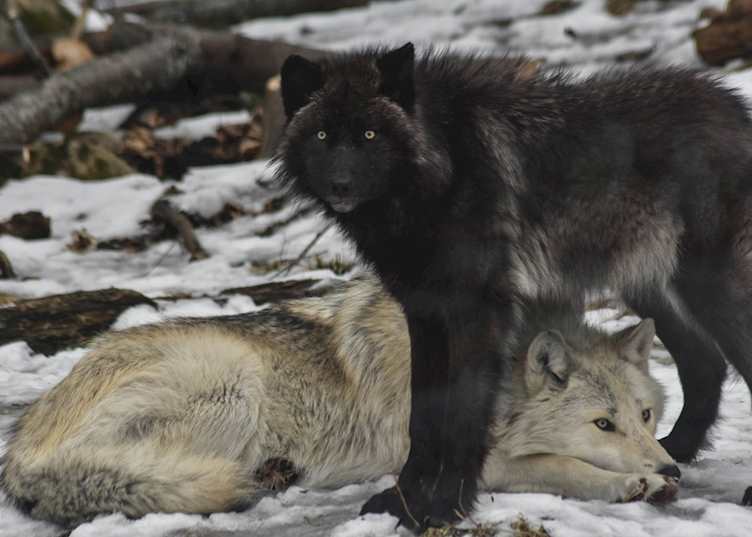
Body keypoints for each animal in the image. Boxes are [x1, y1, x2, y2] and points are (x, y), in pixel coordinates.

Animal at [0, 277, 678, 527]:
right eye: (603, 424)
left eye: (645, 416)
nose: (672, 470)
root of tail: (21, 450)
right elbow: (562, 465)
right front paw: (630, 484)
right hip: (235, 380)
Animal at [276, 44, 752, 527]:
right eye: (321, 135)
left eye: (370, 134)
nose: (340, 184)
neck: (443, 165)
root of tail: (735, 107)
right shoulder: (424, 312)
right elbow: (422, 419)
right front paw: (403, 503)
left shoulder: (481, 311)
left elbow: (463, 417)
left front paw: (444, 506)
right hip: (648, 284)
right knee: (706, 364)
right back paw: (674, 452)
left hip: (707, 286)